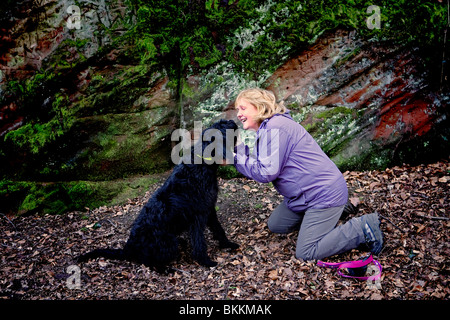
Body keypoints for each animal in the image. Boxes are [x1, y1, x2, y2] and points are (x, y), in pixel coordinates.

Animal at [77, 119, 239, 270]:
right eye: (222, 128)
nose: (232, 122)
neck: (201, 164)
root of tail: (128, 248)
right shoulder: (198, 216)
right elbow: (199, 242)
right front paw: (205, 261)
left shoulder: (209, 209)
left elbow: (219, 229)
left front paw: (228, 244)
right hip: (169, 243)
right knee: (149, 263)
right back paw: (168, 270)